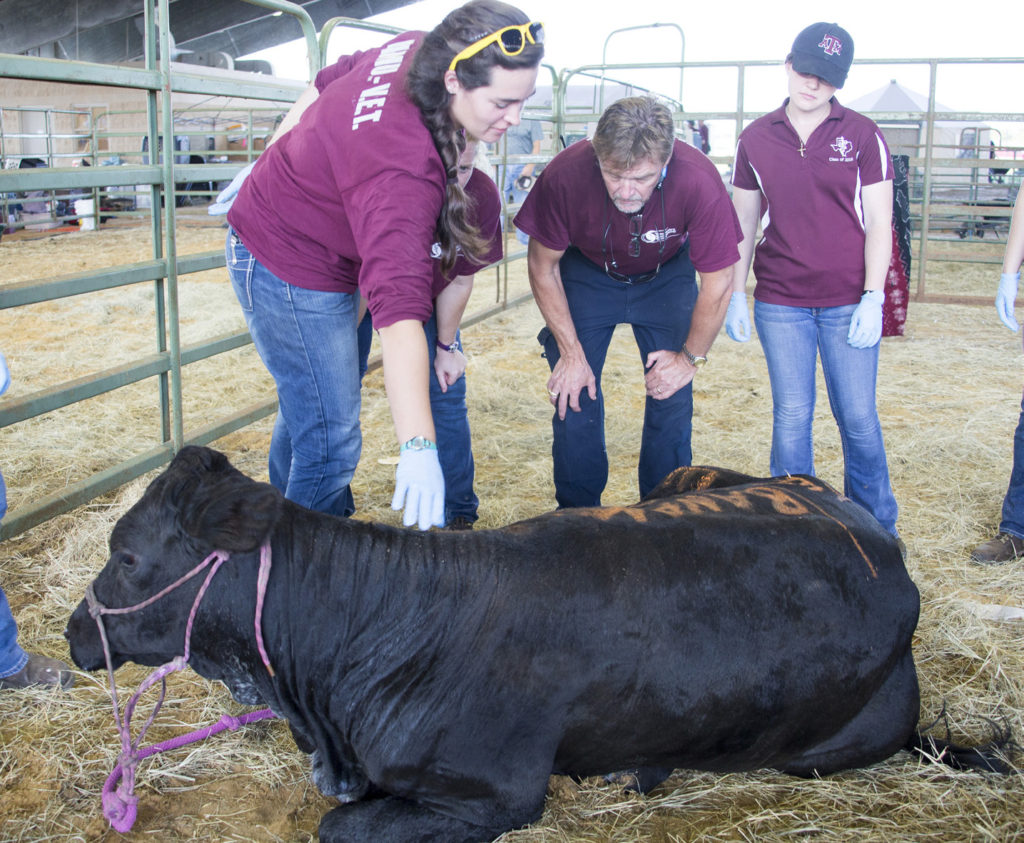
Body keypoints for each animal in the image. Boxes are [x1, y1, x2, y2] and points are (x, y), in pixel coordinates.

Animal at [66, 444, 1015, 839]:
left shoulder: (494, 795)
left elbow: (340, 827)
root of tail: (884, 543)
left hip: (828, 750)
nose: (75, 630)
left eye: (127, 554)